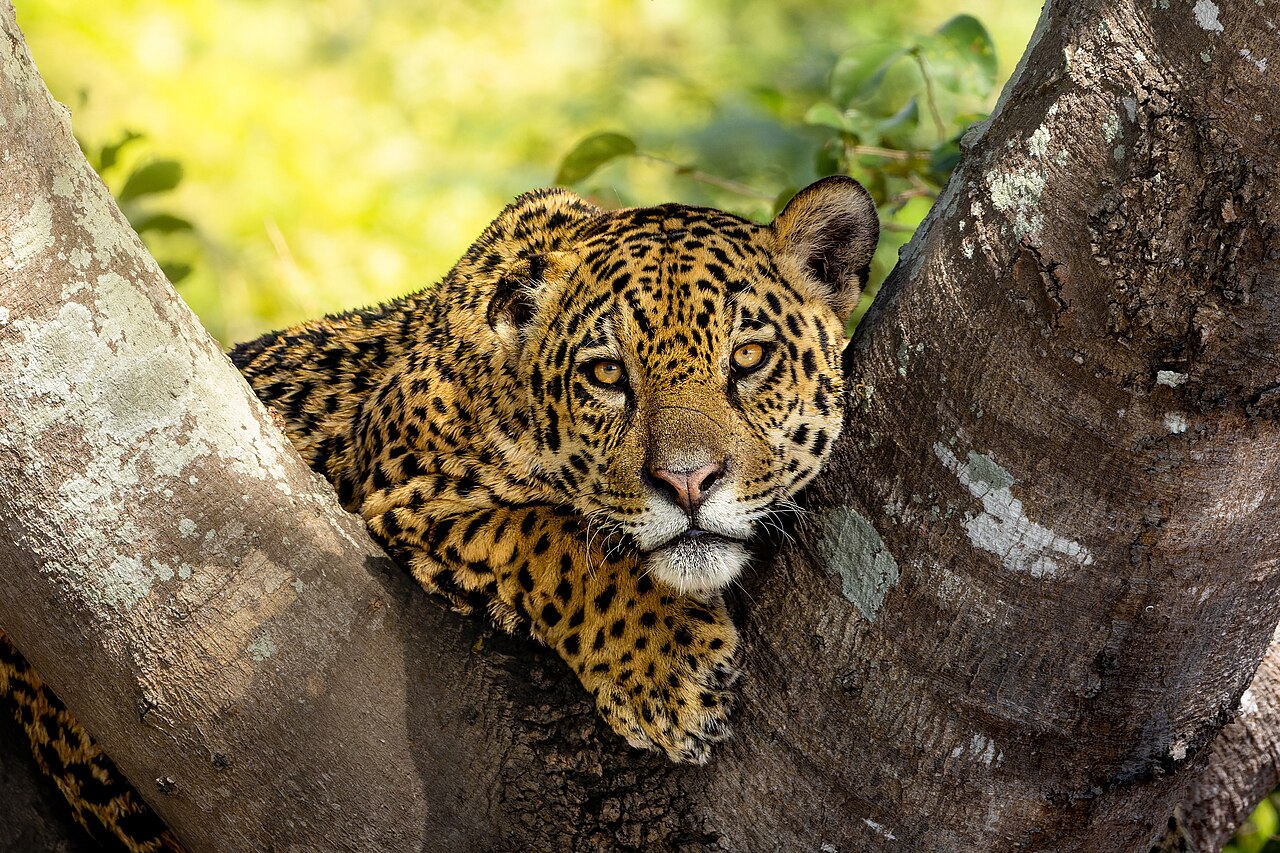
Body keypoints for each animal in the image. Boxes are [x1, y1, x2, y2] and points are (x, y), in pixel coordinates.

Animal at [0, 175, 877, 848]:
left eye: (750, 358)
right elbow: (556, 542)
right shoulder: (394, 493)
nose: (689, 482)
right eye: (605, 374)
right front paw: (670, 670)